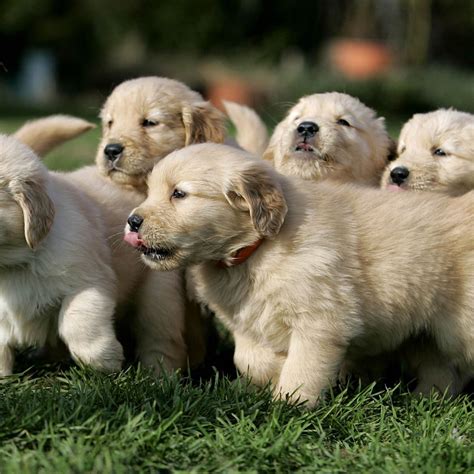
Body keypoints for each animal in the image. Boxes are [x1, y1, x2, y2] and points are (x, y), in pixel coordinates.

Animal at [123, 144, 474, 408]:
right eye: (151, 191)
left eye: (179, 194)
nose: (132, 221)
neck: (255, 250)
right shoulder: (247, 322)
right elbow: (248, 358)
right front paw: (270, 375)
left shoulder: (320, 322)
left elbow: (303, 369)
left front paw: (288, 405)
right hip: (426, 334)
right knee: (444, 371)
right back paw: (425, 401)